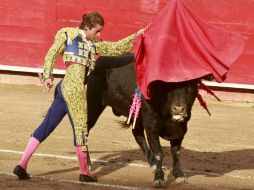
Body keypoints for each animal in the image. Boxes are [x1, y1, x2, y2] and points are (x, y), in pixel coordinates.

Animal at [87, 53, 198, 187]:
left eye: (190, 86)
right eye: (168, 86)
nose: (178, 109)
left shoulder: (181, 129)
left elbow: (176, 152)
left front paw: (179, 175)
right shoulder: (151, 127)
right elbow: (159, 153)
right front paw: (159, 178)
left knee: (137, 135)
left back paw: (153, 164)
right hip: (93, 106)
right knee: (84, 130)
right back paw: (87, 164)